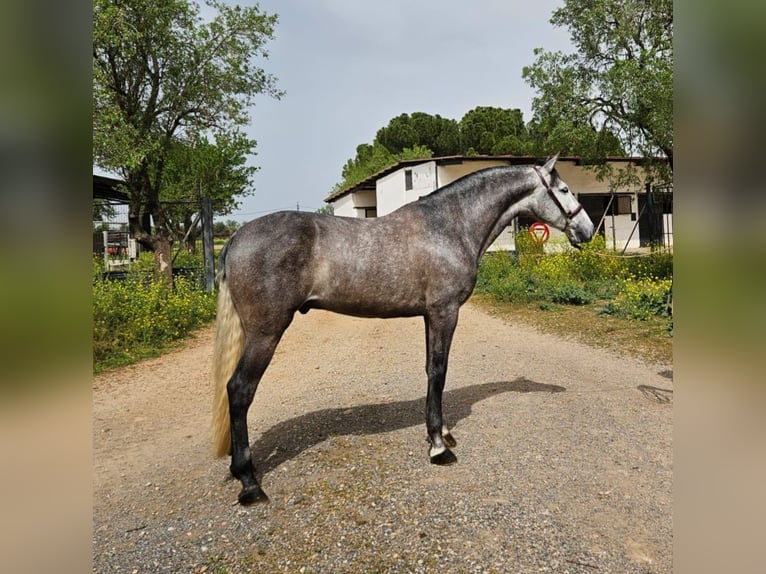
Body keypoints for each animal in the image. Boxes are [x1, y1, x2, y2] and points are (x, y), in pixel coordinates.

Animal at [213, 155, 596, 506]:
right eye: (564, 189)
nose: (588, 230)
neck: (450, 226)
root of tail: (236, 238)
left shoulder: (430, 316)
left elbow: (430, 371)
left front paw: (441, 433)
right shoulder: (445, 313)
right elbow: (439, 372)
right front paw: (439, 448)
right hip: (266, 333)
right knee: (240, 390)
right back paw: (249, 483)